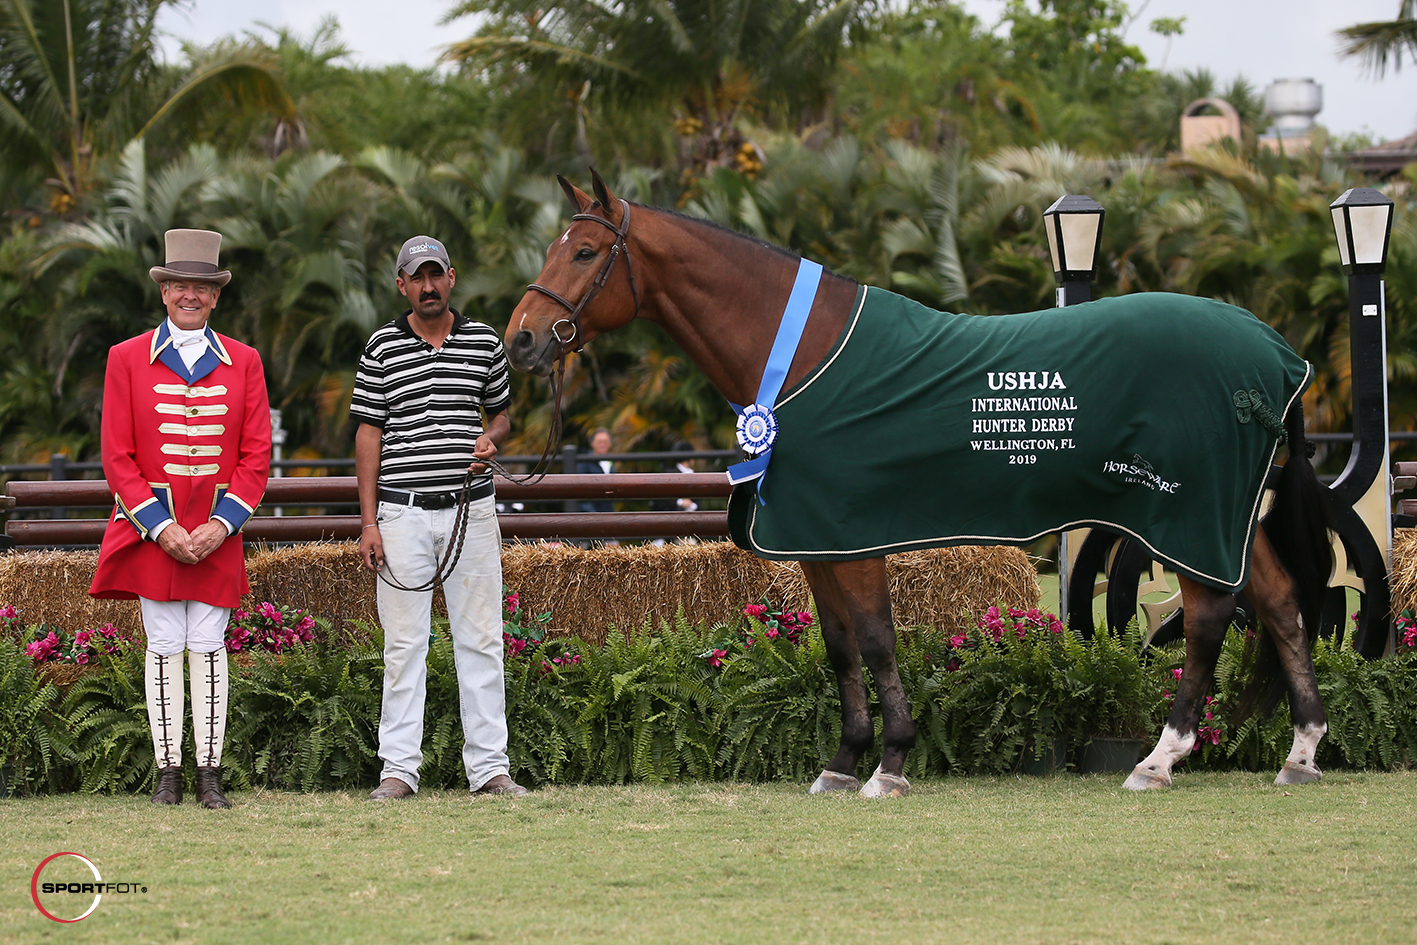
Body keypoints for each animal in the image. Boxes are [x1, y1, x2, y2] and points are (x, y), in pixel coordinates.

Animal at [504, 172, 1331, 799]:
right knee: (1279, 601)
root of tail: (1274, 353)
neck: (805, 355)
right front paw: (843, 761)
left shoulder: (856, 536)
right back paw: (1300, 749)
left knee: (1208, 617)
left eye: (584, 251)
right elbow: (840, 646)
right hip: (1228, 514)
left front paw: (891, 762)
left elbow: (875, 639)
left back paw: (1159, 757)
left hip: (1185, 513)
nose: (521, 338)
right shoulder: (817, 545)